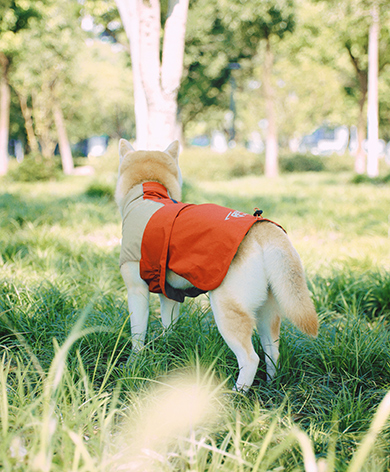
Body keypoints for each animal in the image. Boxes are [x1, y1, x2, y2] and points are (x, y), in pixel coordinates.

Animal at [115, 140, 316, 390]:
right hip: (267, 313)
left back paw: (234, 394)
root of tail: (262, 227)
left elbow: (137, 335)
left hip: (226, 309)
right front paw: (167, 347)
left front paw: (133, 364)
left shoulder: (137, 291)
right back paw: (271, 386)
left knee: (251, 359)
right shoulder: (169, 294)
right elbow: (169, 325)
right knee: (272, 352)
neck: (146, 192)